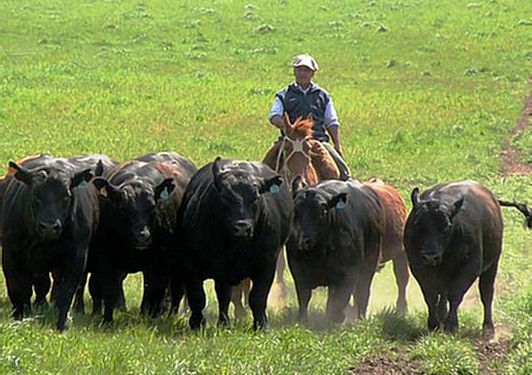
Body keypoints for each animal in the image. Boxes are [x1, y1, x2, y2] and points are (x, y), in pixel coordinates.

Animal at [1, 157, 98, 330]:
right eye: (35, 195)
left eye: (66, 196)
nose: (49, 226)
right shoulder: (10, 253)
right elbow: (17, 288)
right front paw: (19, 318)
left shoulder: (77, 256)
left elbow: (66, 291)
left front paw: (62, 324)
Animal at [88, 151, 196, 324]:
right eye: (123, 208)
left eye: (152, 206)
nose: (142, 237)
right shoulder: (106, 260)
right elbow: (109, 290)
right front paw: (107, 320)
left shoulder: (159, 264)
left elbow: (152, 296)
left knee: (174, 292)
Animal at [175, 157, 290, 330]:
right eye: (225, 197)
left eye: (256, 197)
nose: (242, 227)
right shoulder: (194, 266)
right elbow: (198, 297)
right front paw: (197, 323)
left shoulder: (266, 265)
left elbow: (257, 297)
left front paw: (261, 325)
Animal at [286, 178, 382, 324]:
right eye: (295, 210)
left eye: (322, 212)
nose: (305, 240)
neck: (319, 253)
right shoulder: (298, 271)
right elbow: (304, 296)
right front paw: (303, 320)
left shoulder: (349, 271)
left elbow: (341, 299)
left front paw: (337, 317)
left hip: (369, 265)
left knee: (362, 293)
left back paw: (360, 318)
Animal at [406, 181, 504, 340]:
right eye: (418, 224)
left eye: (446, 227)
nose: (430, 256)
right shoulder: (418, 266)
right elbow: (431, 295)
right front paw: (434, 324)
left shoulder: (471, 266)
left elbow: (456, 294)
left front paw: (452, 325)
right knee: (443, 294)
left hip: (492, 265)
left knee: (486, 294)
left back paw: (488, 329)